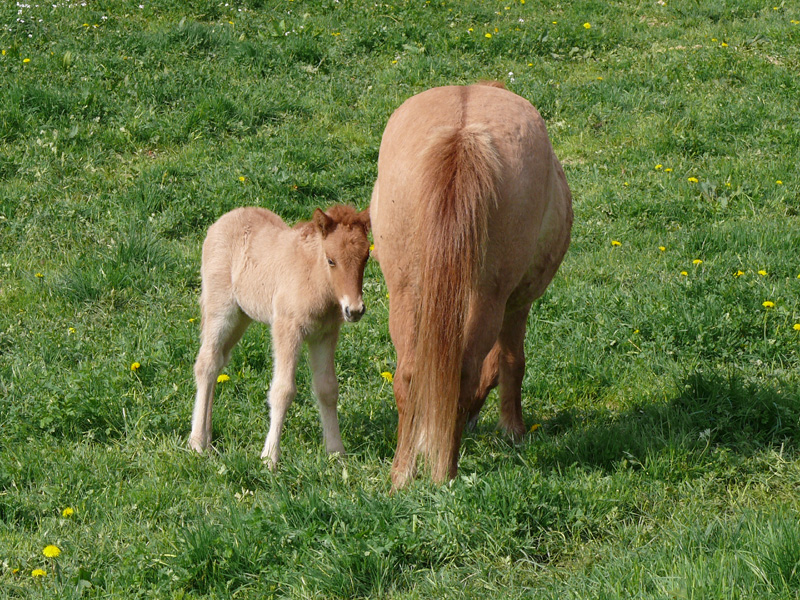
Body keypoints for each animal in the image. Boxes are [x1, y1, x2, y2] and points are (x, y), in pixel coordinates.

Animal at [190, 204, 372, 466]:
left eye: (366, 257)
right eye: (331, 260)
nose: (354, 310)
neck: (313, 278)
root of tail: (224, 219)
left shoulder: (325, 335)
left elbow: (327, 388)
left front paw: (336, 453)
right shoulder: (287, 329)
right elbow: (283, 390)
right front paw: (269, 458)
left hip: (242, 316)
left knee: (218, 363)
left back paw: (207, 437)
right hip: (221, 309)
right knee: (207, 362)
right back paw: (196, 443)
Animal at [372, 82, 572, 490]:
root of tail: (462, 133)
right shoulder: (516, 304)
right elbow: (511, 362)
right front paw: (513, 431)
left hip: (406, 294)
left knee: (409, 376)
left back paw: (402, 475)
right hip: (488, 298)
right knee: (464, 375)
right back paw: (443, 475)